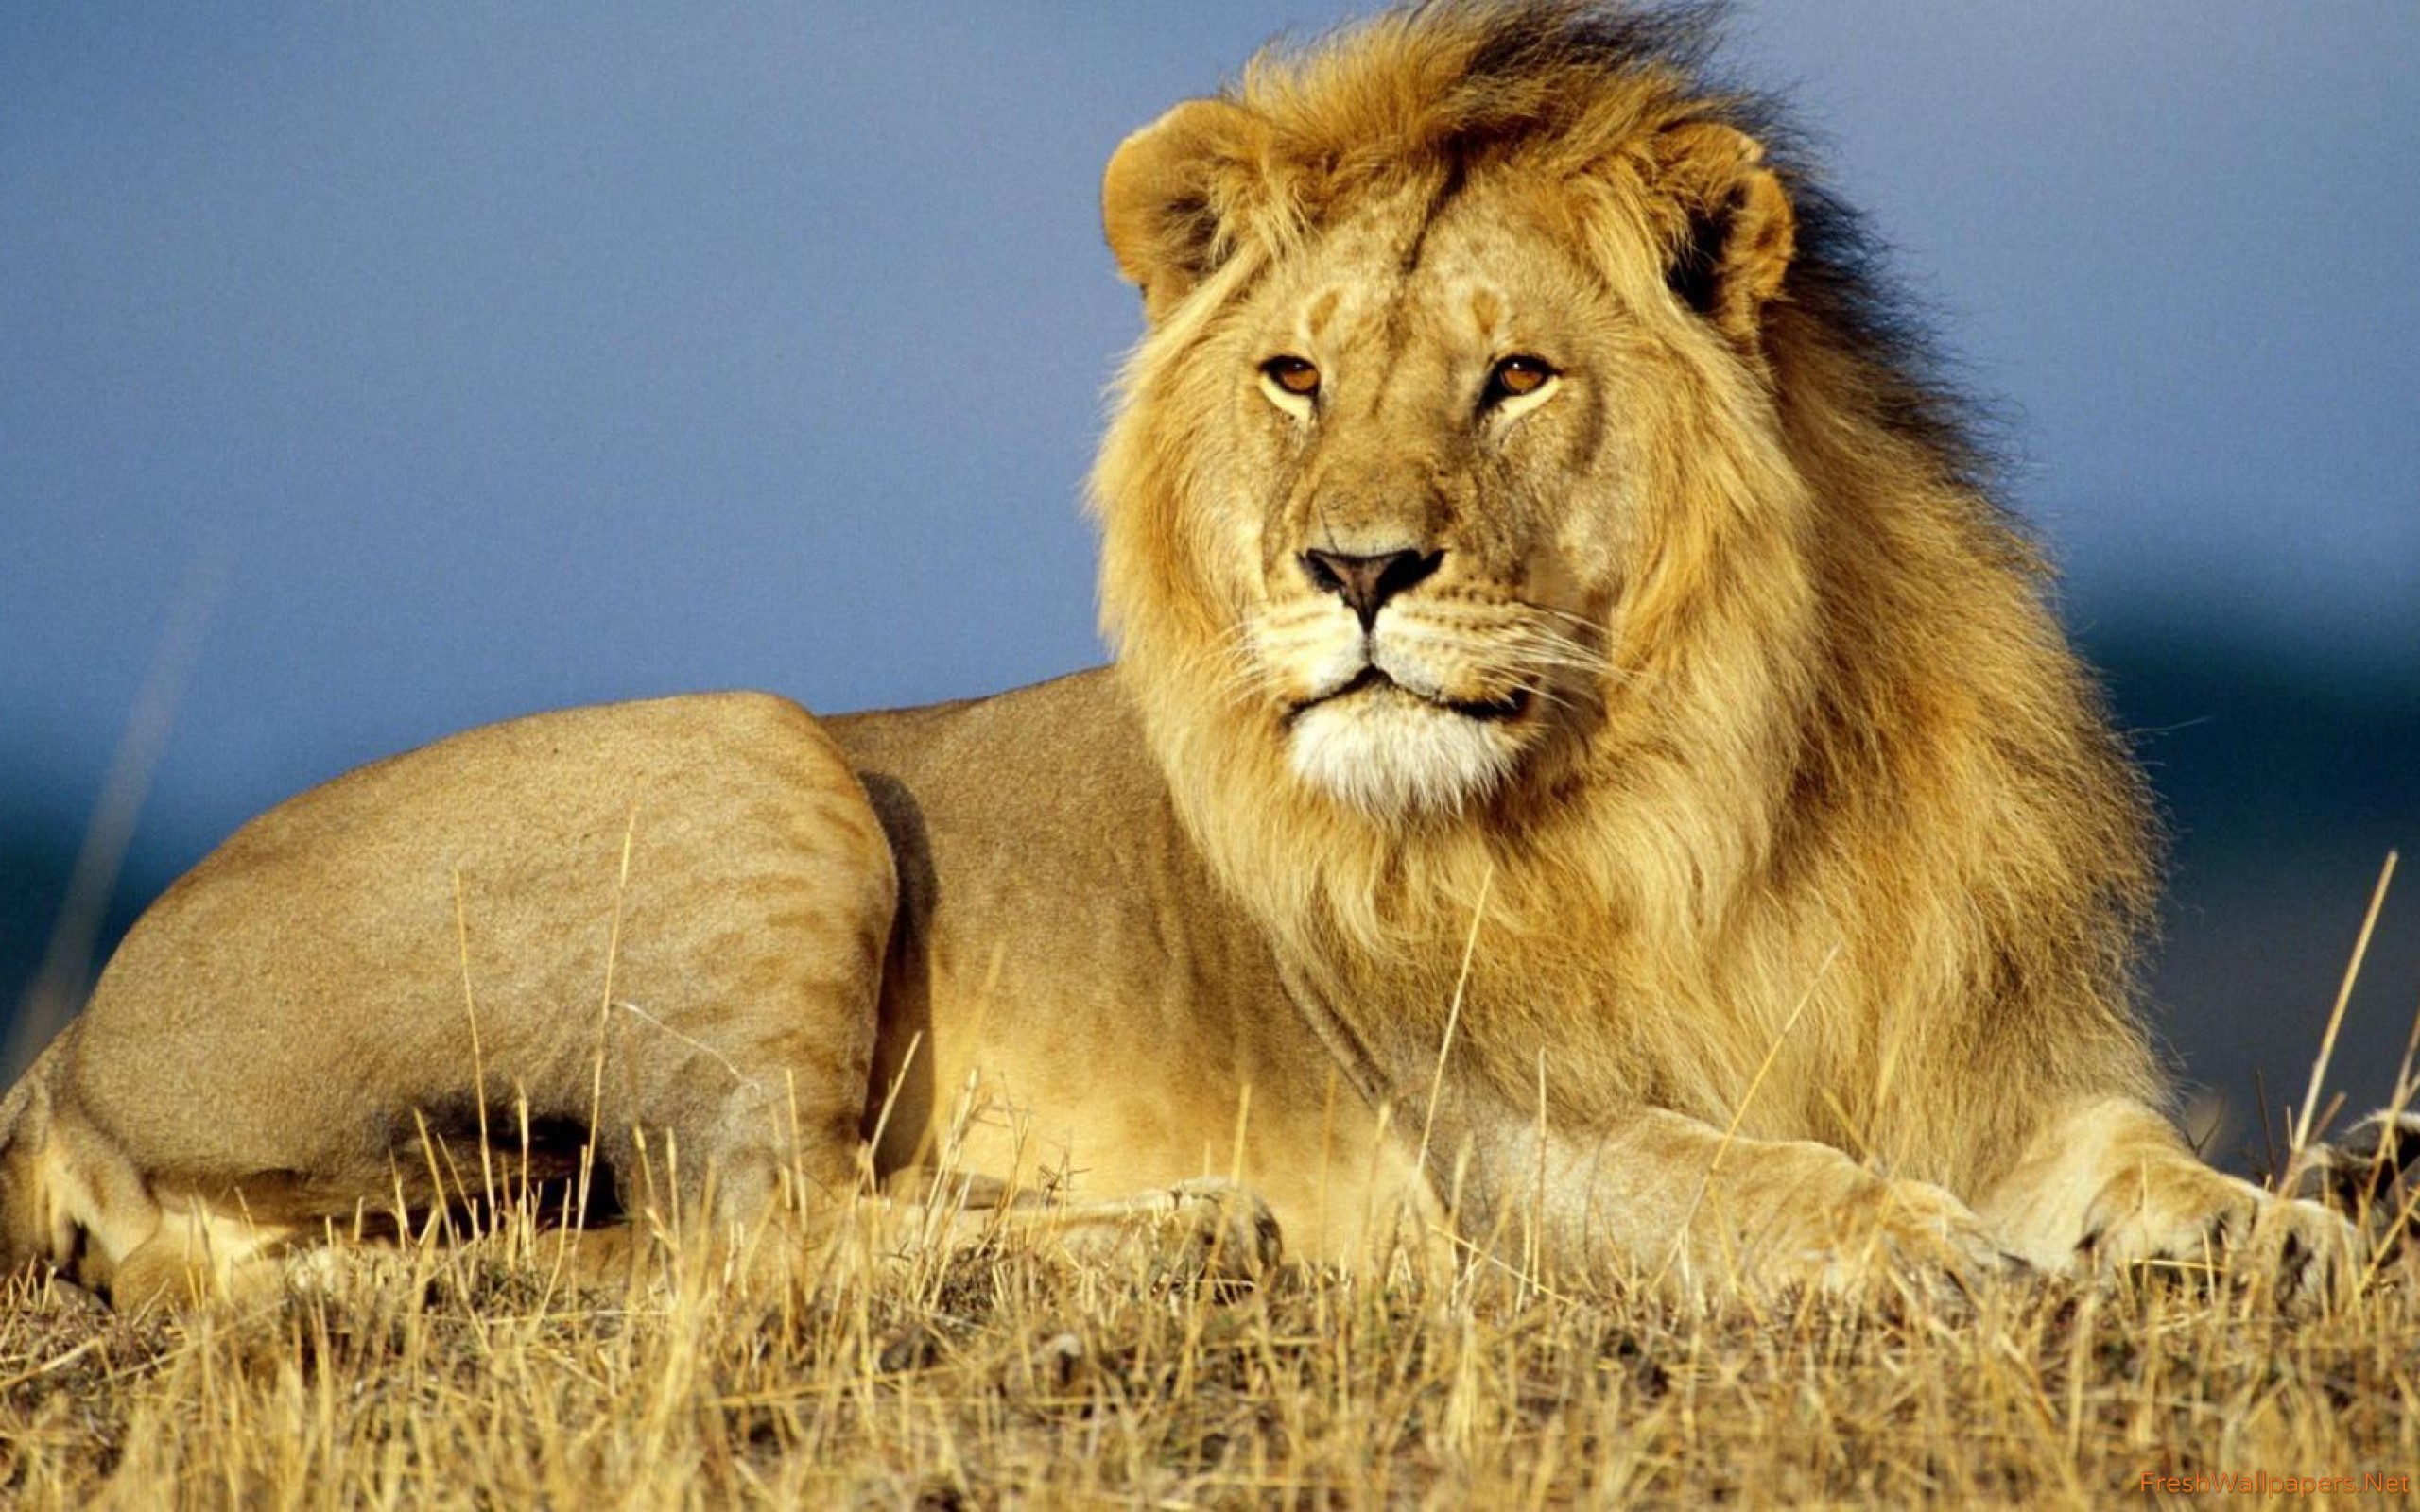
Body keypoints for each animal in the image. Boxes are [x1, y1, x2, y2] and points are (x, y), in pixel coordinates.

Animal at [3, 0, 2411, 1309]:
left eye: (1513, 376)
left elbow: (2135, 1164)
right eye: (1290, 375)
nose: (1353, 565)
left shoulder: (1984, 1057)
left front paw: (2279, 1234)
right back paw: (1170, 1235)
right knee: (749, 1227)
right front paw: (1920, 1248)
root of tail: (74, 1044)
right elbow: (1761, 1180)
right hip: (756, 759)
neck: (1704, 780)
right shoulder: (1496, 1141)